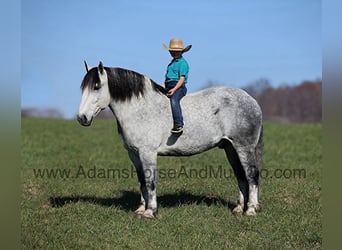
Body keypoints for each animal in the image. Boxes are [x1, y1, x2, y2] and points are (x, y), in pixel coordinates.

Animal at [77, 61, 264, 218]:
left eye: (96, 86)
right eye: (83, 88)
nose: (81, 118)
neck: (139, 109)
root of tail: (253, 101)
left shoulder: (148, 153)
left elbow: (150, 181)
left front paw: (150, 211)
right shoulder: (134, 154)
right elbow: (142, 181)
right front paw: (141, 209)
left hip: (244, 147)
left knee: (251, 175)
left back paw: (251, 209)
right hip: (230, 148)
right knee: (241, 176)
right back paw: (239, 208)